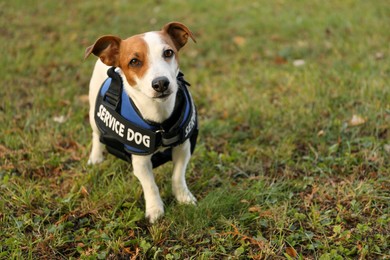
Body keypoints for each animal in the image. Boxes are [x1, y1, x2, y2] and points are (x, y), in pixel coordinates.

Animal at [83, 21, 197, 222]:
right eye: (134, 61)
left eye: (168, 52)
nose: (161, 83)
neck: (159, 120)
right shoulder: (140, 160)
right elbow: (150, 184)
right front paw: (155, 209)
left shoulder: (183, 147)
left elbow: (178, 175)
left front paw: (183, 197)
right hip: (92, 113)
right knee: (96, 135)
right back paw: (95, 157)